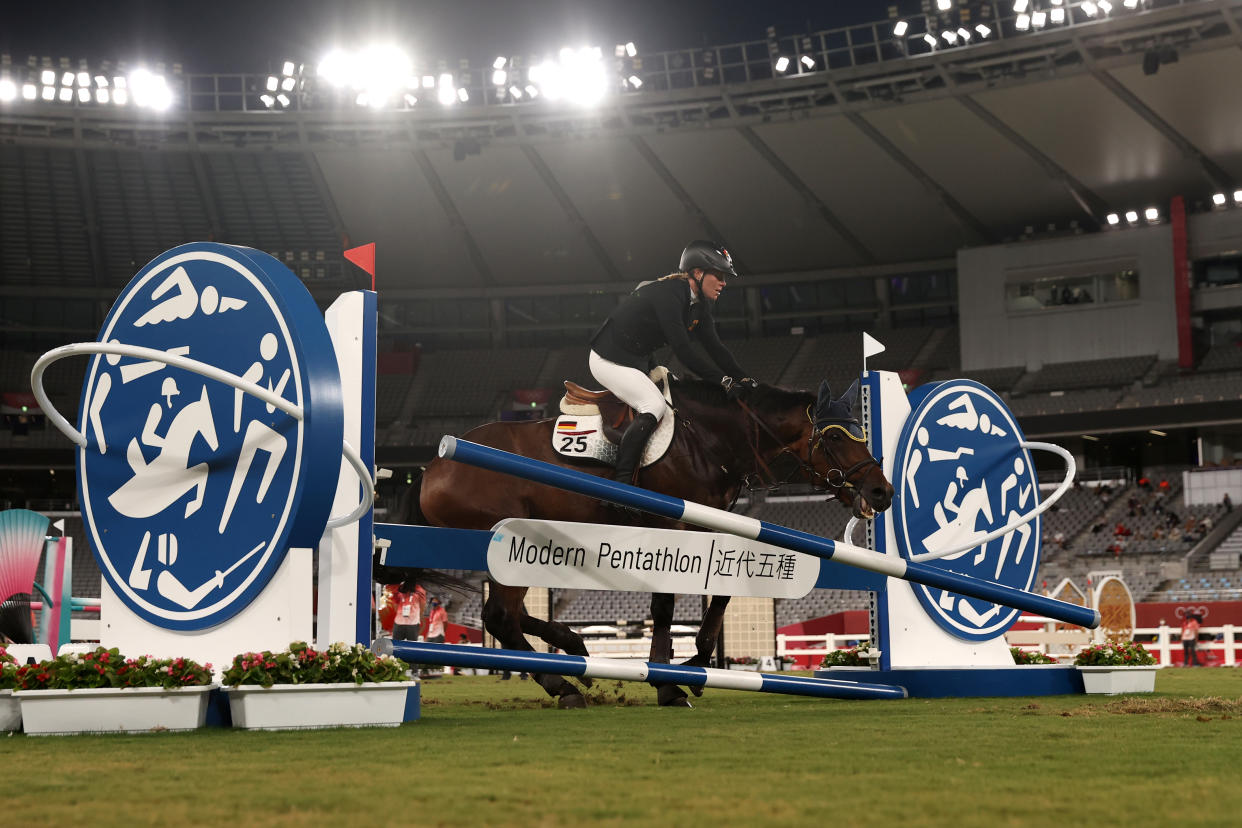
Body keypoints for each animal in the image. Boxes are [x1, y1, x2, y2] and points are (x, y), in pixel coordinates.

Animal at [392, 374, 889, 705]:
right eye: (834, 438)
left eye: (861, 433)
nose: (882, 492)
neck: (708, 440)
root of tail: (432, 466)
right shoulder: (673, 529)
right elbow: (665, 607)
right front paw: (668, 683)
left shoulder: (714, 529)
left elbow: (720, 597)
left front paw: (689, 667)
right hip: (507, 541)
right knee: (500, 617)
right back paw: (563, 685)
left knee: (511, 617)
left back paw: (574, 651)